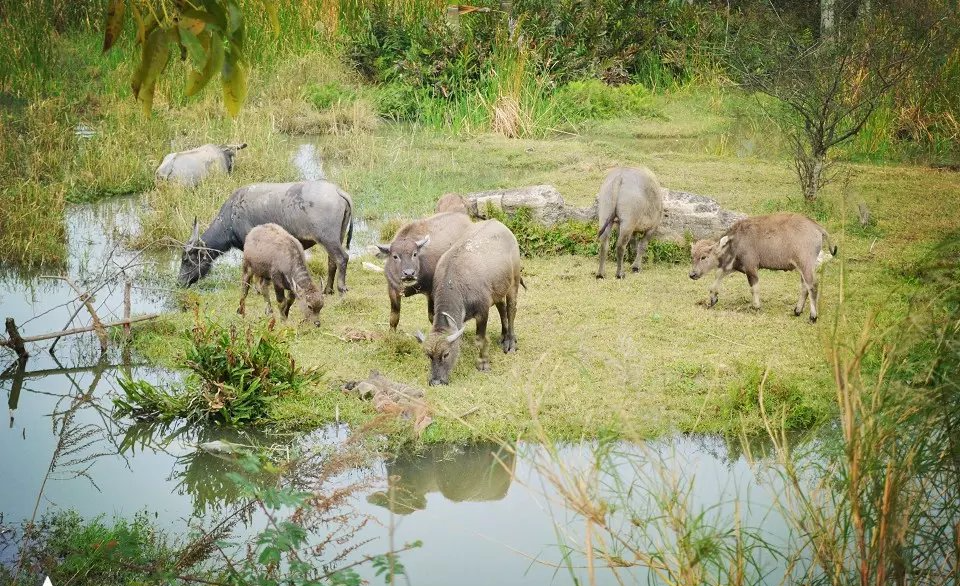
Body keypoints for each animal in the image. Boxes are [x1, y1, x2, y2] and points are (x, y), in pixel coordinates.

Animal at [179, 178, 352, 294]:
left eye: (186, 260)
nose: (180, 282)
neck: (230, 218)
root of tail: (338, 191)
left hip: (327, 238)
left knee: (342, 258)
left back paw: (341, 288)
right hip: (337, 236)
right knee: (332, 261)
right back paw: (328, 289)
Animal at [416, 218, 524, 384]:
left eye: (446, 354)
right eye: (429, 355)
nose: (436, 382)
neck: (456, 283)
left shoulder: (482, 311)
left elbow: (480, 338)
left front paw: (483, 364)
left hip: (514, 281)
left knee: (511, 309)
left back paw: (510, 342)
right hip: (498, 289)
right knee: (502, 308)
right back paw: (503, 336)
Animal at [688, 210, 836, 320]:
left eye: (703, 257)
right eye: (692, 256)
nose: (692, 274)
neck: (736, 241)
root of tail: (817, 227)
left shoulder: (751, 267)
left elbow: (754, 288)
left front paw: (756, 306)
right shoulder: (732, 265)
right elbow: (716, 278)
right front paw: (713, 299)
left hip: (806, 264)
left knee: (813, 286)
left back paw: (813, 316)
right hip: (802, 267)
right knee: (804, 286)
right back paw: (797, 310)